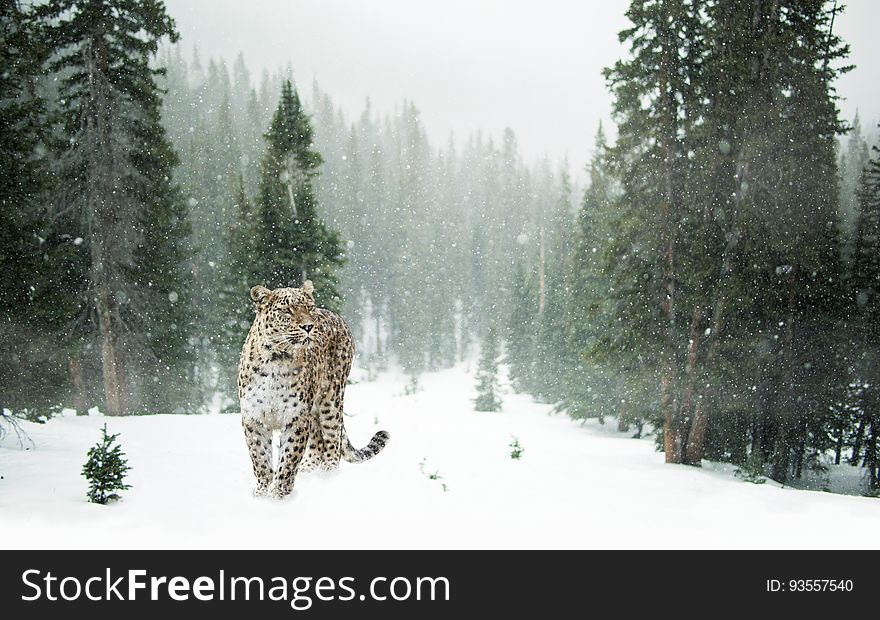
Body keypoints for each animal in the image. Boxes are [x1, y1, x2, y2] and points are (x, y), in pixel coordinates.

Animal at [237, 280, 388, 498]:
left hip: (331, 398)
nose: (308, 326)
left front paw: (279, 494)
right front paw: (262, 492)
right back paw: (308, 470)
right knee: (318, 441)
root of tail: (337, 316)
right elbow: (260, 458)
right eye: (287, 310)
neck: (276, 359)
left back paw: (328, 473)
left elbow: (289, 458)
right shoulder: (254, 417)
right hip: (315, 409)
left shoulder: (296, 417)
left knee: (332, 437)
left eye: (309, 308)